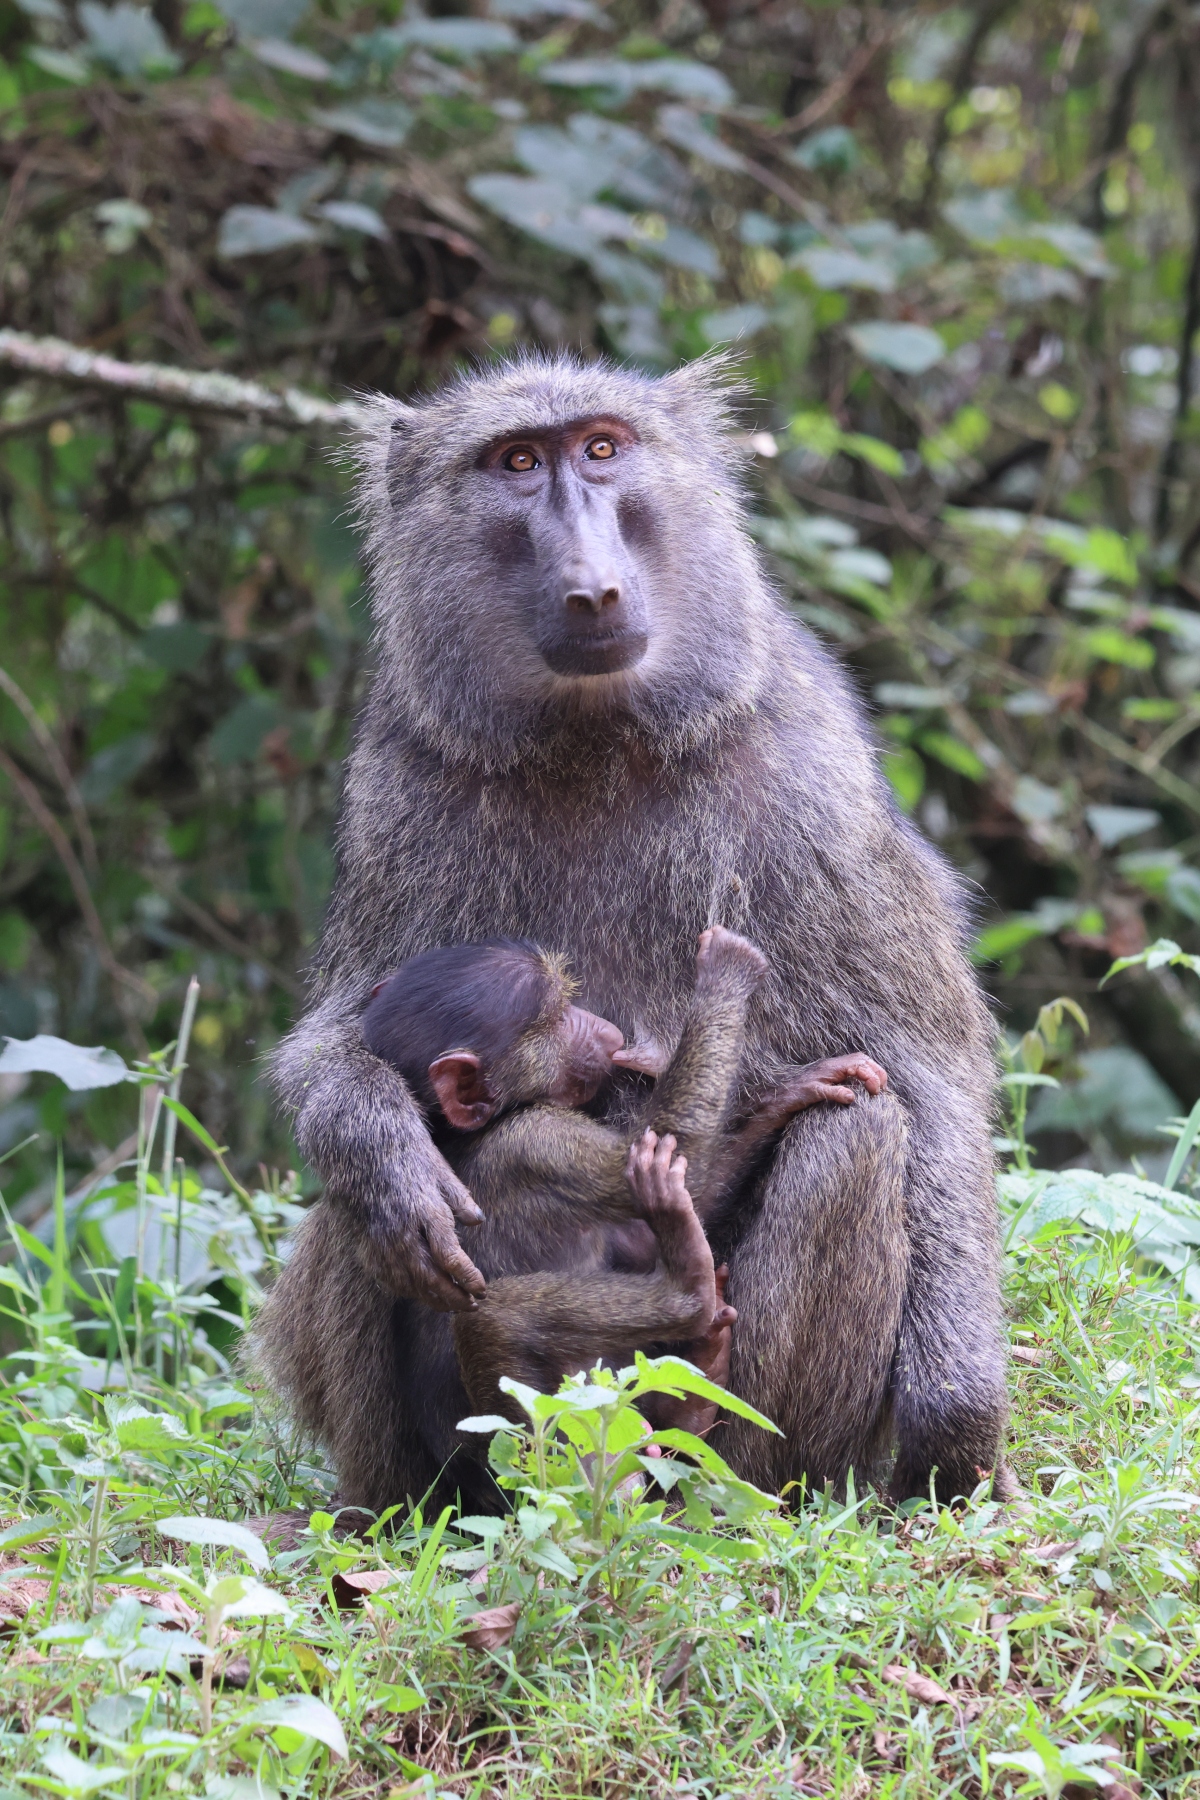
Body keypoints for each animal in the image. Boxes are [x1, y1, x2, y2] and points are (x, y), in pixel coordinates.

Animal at [258, 352, 1013, 1514]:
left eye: (604, 449)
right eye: (518, 462)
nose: (595, 587)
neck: (598, 738)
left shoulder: (812, 771)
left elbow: (925, 1068)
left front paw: (957, 1423)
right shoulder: (403, 780)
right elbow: (344, 1041)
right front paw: (372, 1132)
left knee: (856, 1134)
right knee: (367, 1213)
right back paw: (388, 1509)